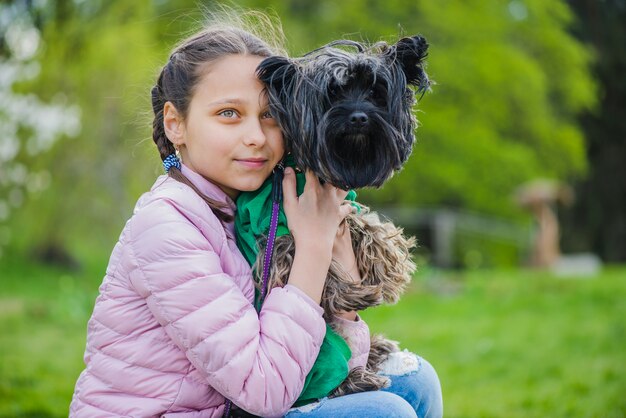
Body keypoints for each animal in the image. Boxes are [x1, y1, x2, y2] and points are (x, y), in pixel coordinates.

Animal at [236, 35, 426, 398]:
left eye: (376, 93)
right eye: (333, 93)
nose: (359, 117)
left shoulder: (345, 206)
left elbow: (367, 225)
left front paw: (386, 266)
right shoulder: (280, 235)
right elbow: (325, 273)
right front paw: (359, 290)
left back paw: (377, 349)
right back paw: (357, 379)